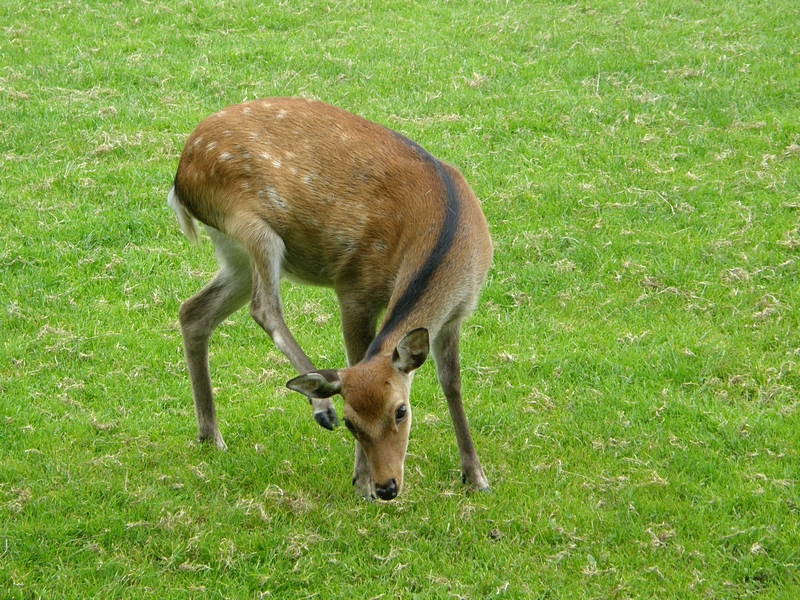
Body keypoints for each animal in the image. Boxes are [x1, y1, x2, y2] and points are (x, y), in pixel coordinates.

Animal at [168, 97, 490, 502]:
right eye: (352, 423)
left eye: (401, 411)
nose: (387, 487)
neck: (447, 232)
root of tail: (180, 176)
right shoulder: (354, 285)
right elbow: (356, 361)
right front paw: (361, 481)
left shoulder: (457, 315)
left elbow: (452, 384)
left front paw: (476, 476)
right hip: (251, 225)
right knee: (264, 308)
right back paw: (319, 405)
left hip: (234, 252)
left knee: (194, 310)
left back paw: (211, 436)